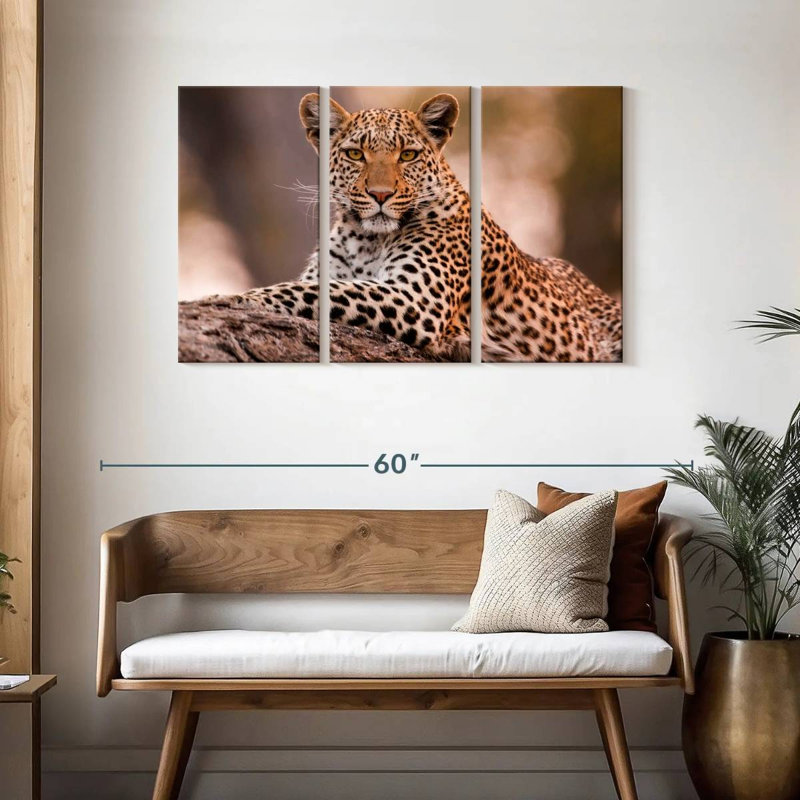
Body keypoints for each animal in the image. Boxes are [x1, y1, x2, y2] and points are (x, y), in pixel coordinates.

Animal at [235, 92, 622, 362]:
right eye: (355, 154)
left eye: (408, 155)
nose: (380, 194)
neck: (367, 240)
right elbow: (313, 285)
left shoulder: (418, 300)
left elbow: (311, 291)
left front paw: (234, 298)